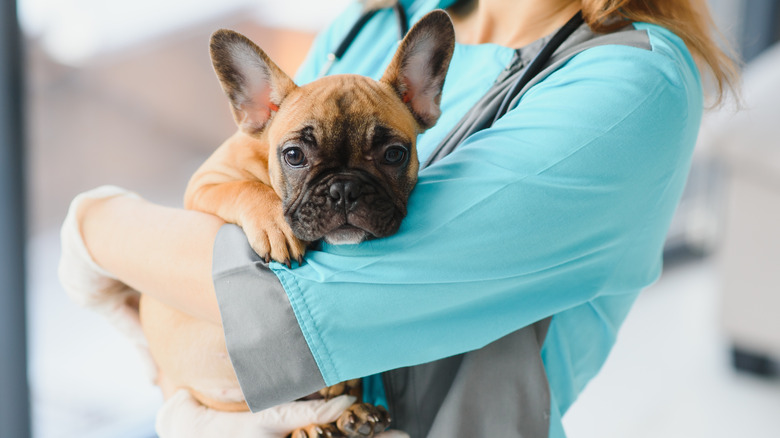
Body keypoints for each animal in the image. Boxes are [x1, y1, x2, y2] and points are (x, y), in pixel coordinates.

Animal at [141, 10, 458, 438]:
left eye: (394, 154)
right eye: (294, 155)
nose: (344, 188)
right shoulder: (205, 184)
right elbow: (245, 187)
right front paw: (275, 224)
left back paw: (353, 412)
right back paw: (311, 424)